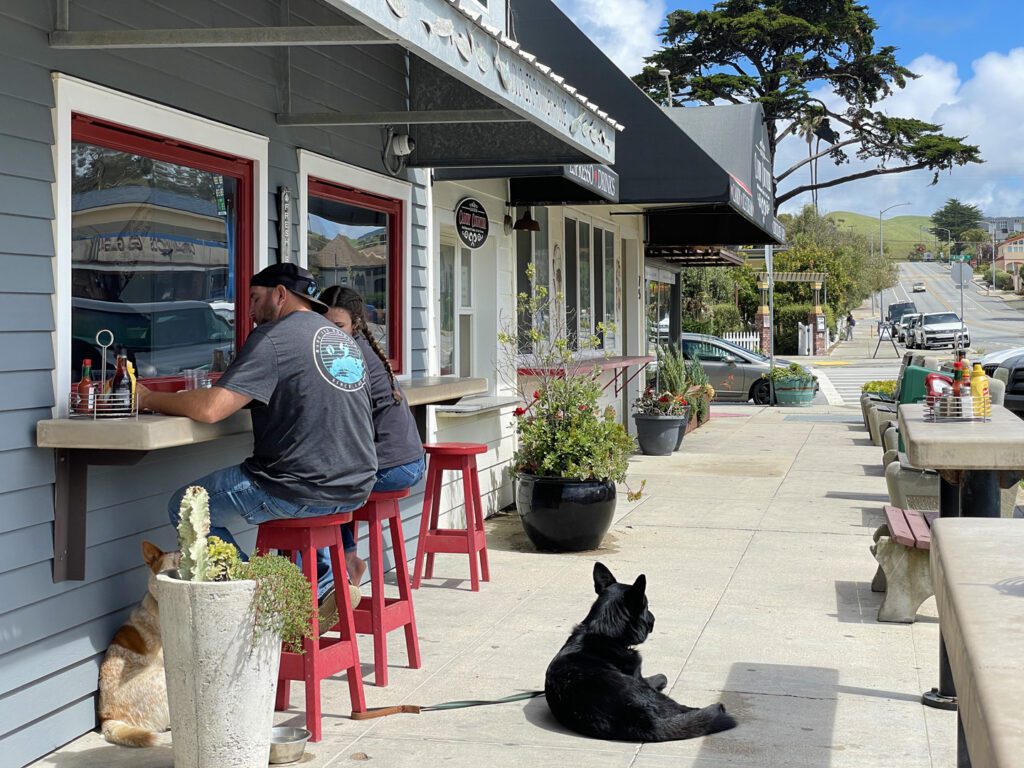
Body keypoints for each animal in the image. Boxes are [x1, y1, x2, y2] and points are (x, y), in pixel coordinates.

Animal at [544, 561, 737, 741]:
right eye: (646, 605)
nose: (654, 619)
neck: (603, 632)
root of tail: (645, 721)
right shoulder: (640, 677)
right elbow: (660, 677)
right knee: (685, 710)